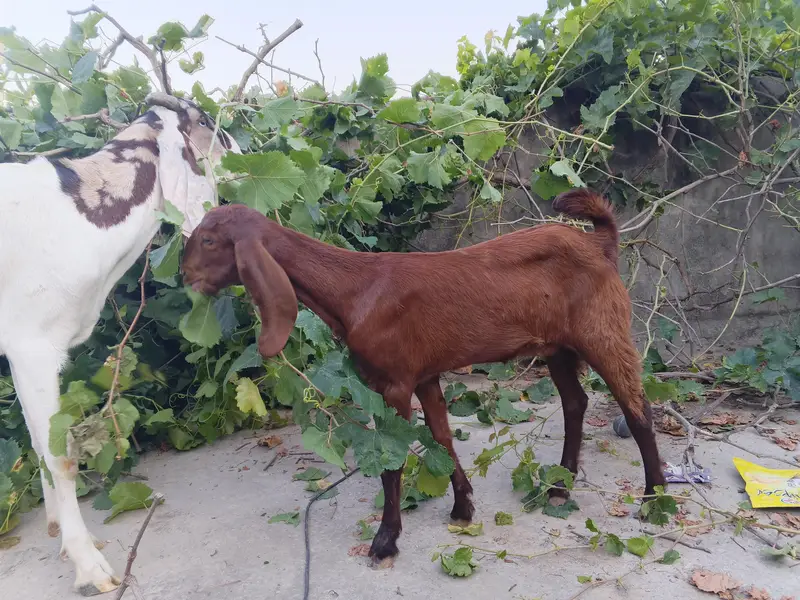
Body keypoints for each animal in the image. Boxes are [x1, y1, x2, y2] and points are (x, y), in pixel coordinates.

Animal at [0, 92, 240, 595]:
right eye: (206, 123)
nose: (246, 154)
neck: (76, 216)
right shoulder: (32, 344)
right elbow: (60, 455)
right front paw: (90, 567)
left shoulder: (18, 351)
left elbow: (38, 443)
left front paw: (58, 530)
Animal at [181, 188, 666, 562]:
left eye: (209, 239)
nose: (184, 274)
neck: (356, 291)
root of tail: (601, 243)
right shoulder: (425, 375)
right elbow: (441, 438)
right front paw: (463, 508)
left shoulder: (394, 383)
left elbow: (394, 463)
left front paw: (385, 540)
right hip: (559, 347)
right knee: (575, 403)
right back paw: (560, 487)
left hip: (603, 330)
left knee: (637, 407)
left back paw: (655, 499)